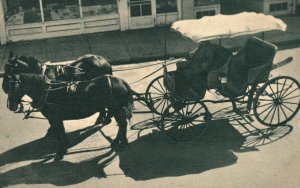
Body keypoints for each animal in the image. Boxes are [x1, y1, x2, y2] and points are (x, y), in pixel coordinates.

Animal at [6, 72, 134, 161]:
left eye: (14, 87)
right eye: (8, 88)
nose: (10, 106)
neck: (48, 92)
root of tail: (121, 81)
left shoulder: (54, 118)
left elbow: (59, 134)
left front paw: (60, 151)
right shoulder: (57, 119)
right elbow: (61, 132)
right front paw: (64, 147)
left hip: (117, 109)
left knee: (122, 125)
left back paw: (121, 142)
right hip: (115, 109)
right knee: (122, 125)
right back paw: (118, 141)